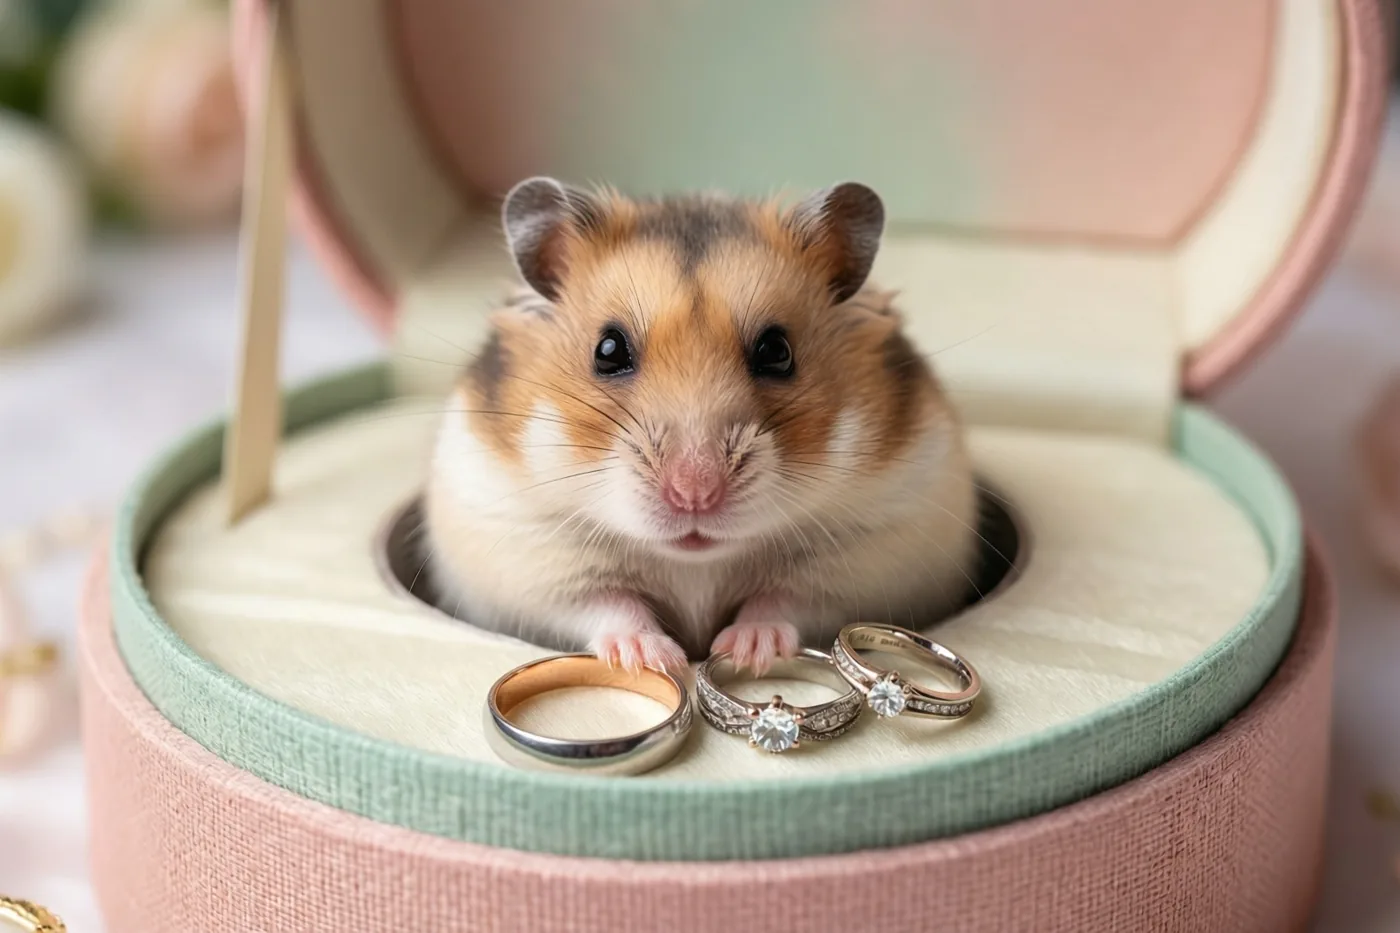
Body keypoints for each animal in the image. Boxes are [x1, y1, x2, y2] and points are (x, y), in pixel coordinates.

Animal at [423, 177, 977, 674]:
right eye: (608, 350)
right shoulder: (523, 550)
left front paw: (744, 651)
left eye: (777, 352)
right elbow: (606, 603)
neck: (696, 563)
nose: (695, 495)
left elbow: (785, 598)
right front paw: (654, 658)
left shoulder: (874, 552)